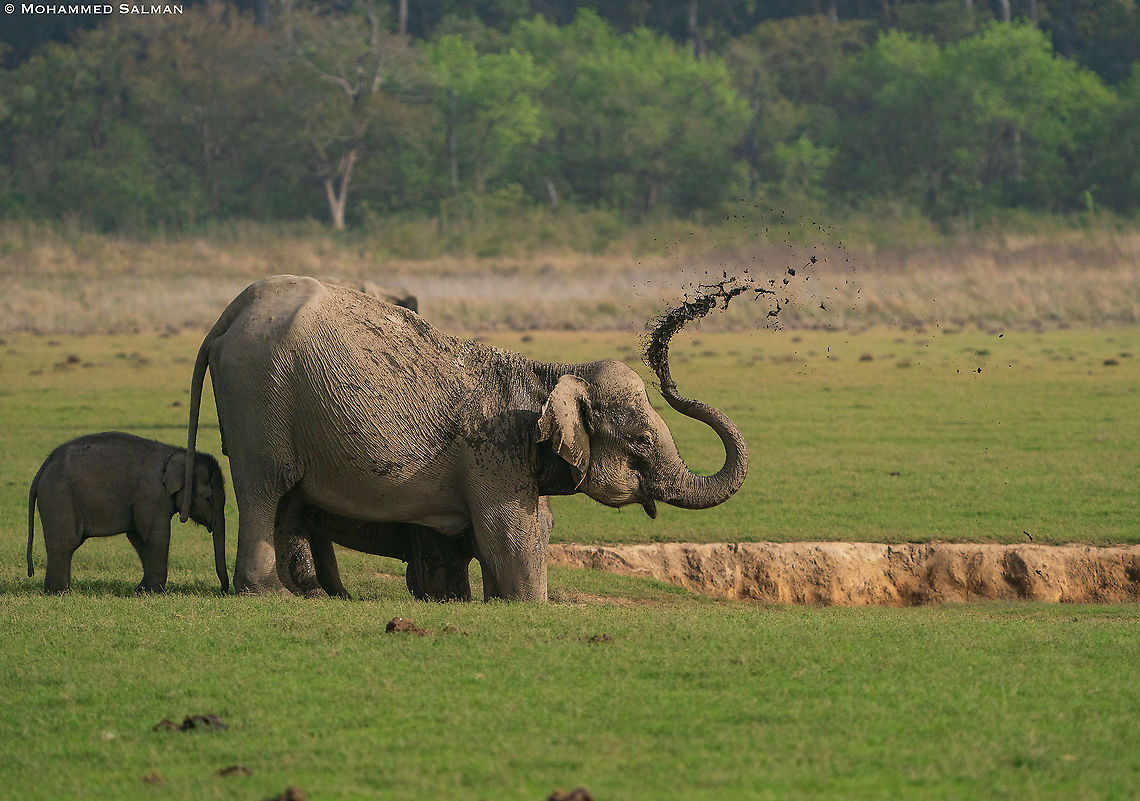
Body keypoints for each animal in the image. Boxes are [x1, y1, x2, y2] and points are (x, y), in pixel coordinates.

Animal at [27, 432, 227, 594]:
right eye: (208, 498)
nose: (223, 590)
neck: (180, 453)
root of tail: (43, 467)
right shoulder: (152, 494)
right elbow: (156, 535)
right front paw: (154, 592)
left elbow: (139, 538)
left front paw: (141, 591)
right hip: (58, 496)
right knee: (64, 544)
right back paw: (60, 593)